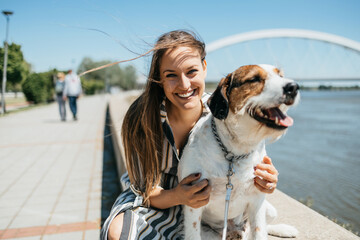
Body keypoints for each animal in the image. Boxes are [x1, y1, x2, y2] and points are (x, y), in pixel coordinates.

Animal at [179, 64, 300, 239]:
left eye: (281, 76)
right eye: (254, 79)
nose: (294, 87)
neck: (235, 152)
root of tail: (234, 230)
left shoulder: (257, 200)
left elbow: (260, 231)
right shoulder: (194, 199)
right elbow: (193, 233)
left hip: (269, 210)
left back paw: (283, 229)